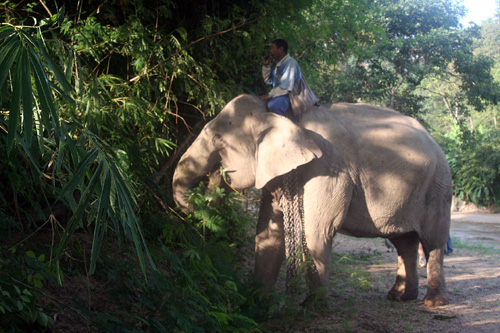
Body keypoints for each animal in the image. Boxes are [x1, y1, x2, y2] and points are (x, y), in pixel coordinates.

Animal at [173, 93, 454, 306]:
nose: (215, 179)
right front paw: (255, 303)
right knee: (403, 241)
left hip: (439, 187)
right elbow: (269, 233)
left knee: (432, 241)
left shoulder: (327, 168)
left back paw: (433, 303)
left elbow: (317, 231)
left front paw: (313, 306)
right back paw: (398, 297)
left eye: (218, 140)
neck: (279, 115)